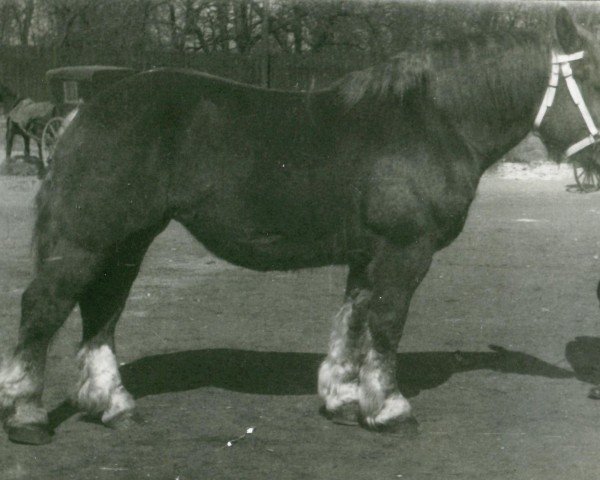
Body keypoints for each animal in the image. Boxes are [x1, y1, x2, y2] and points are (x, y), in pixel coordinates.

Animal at [1, 7, 600, 444]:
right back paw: (28, 415)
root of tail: (85, 112)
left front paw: (344, 400)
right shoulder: (404, 251)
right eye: (592, 76)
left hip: (127, 241)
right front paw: (390, 410)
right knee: (44, 307)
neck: (434, 120)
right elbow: (386, 325)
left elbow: (352, 322)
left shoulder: (368, 254)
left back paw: (114, 406)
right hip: (88, 239)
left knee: (102, 312)